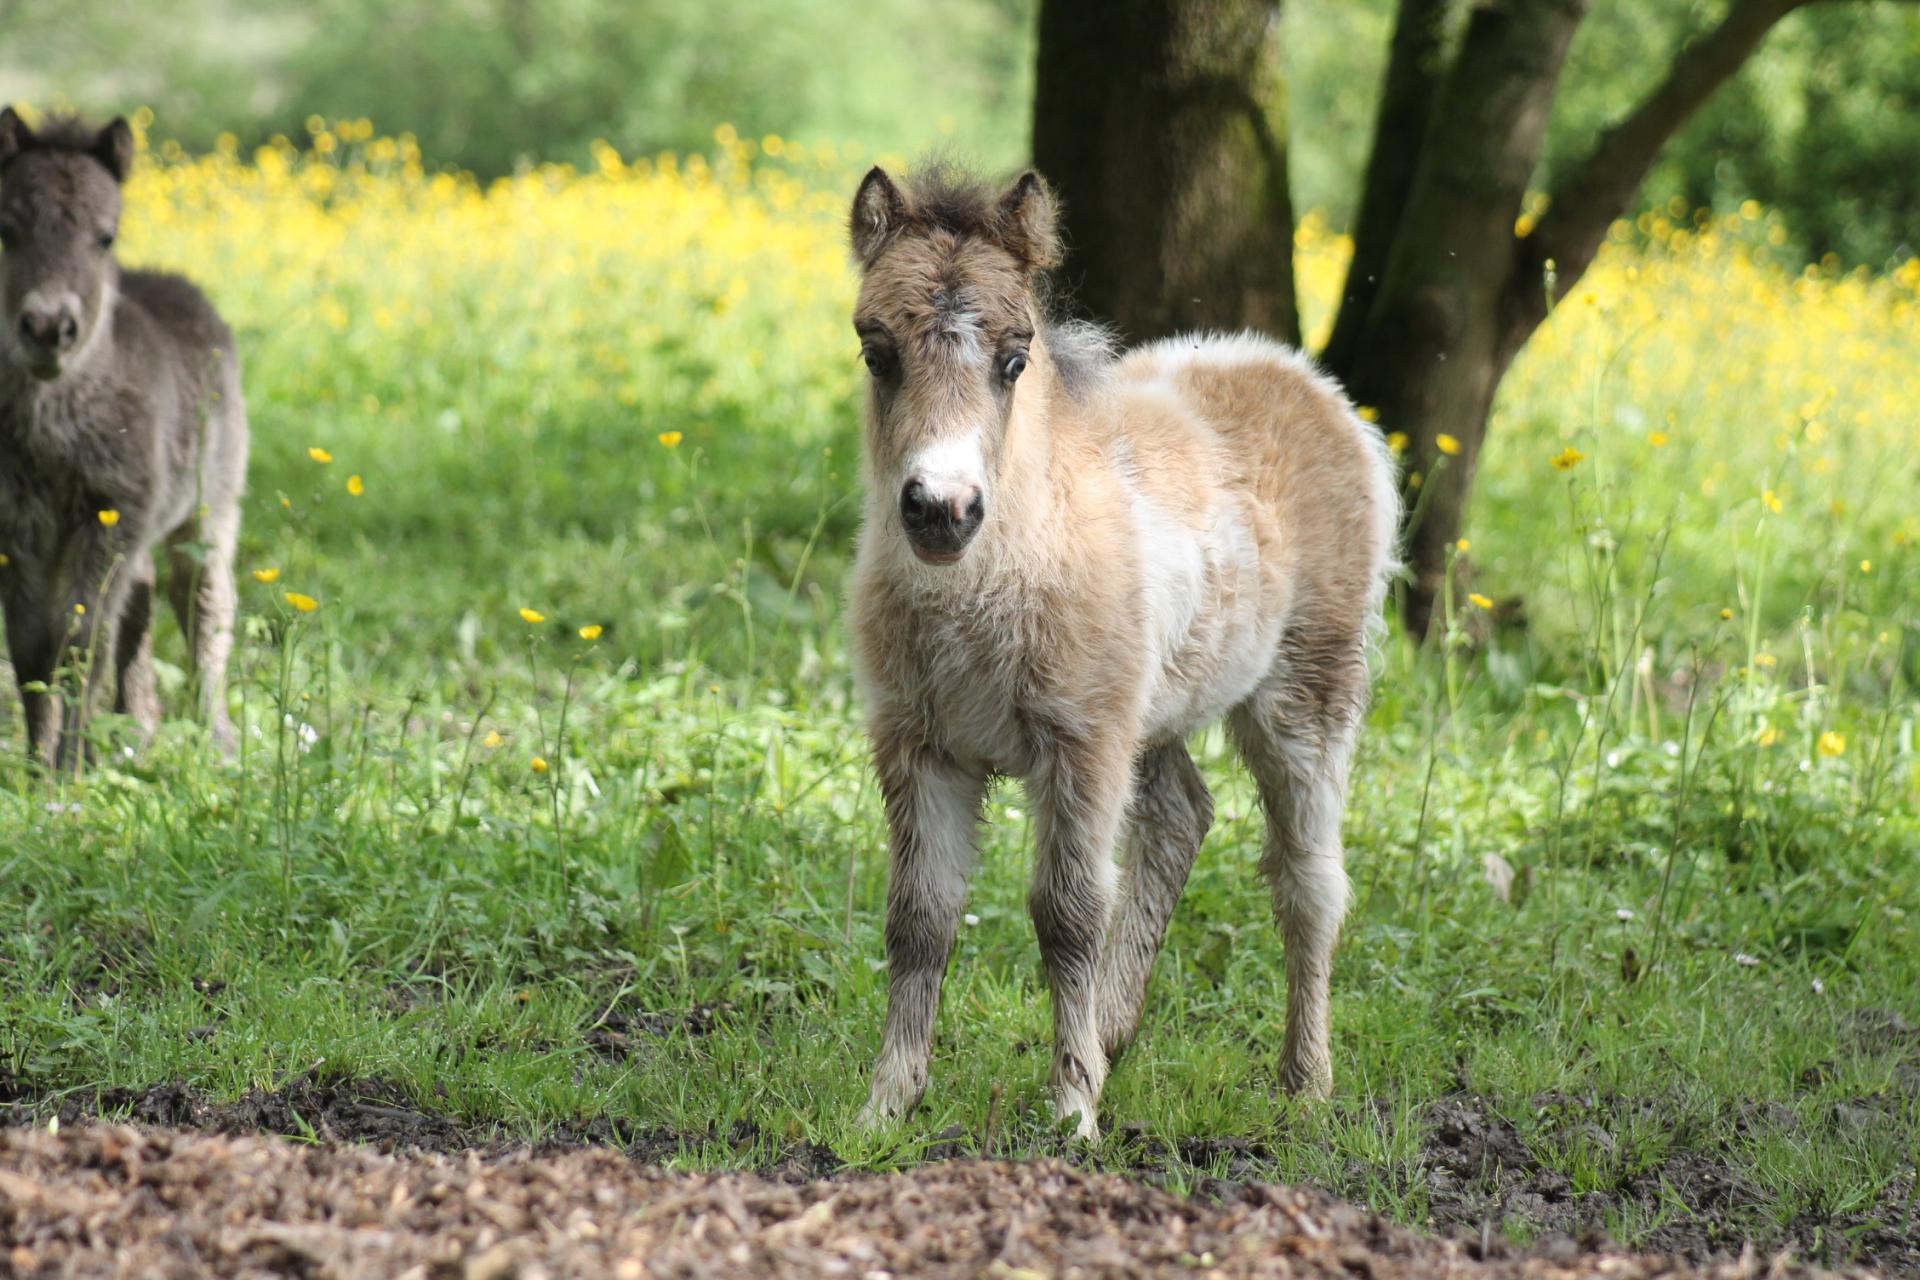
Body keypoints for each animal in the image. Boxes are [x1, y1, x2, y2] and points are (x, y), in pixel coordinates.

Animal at [0, 110, 247, 767]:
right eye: (7, 230)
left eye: (105, 236)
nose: (47, 329)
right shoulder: (18, 523)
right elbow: (31, 643)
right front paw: (37, 766)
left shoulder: (111, 511)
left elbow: (82, 638)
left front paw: (66, 770)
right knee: (142, 598)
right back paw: (136, 727)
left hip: (207, 508)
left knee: (201, 602)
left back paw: (216, 739)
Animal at [840, 165, 1397, 1136]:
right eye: (878, 353)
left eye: (1015, 359)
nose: (942, 509)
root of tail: (1309, 384)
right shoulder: (920, 745)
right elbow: (919, 918)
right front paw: (886, 1108)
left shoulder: (1082, 744)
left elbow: (1066, 915)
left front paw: (1071, 1111)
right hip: (1155, 709)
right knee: (1181, 816)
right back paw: (1113, 1035)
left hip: (1309, 692)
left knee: (1309, 885)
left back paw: (1305, 1083)